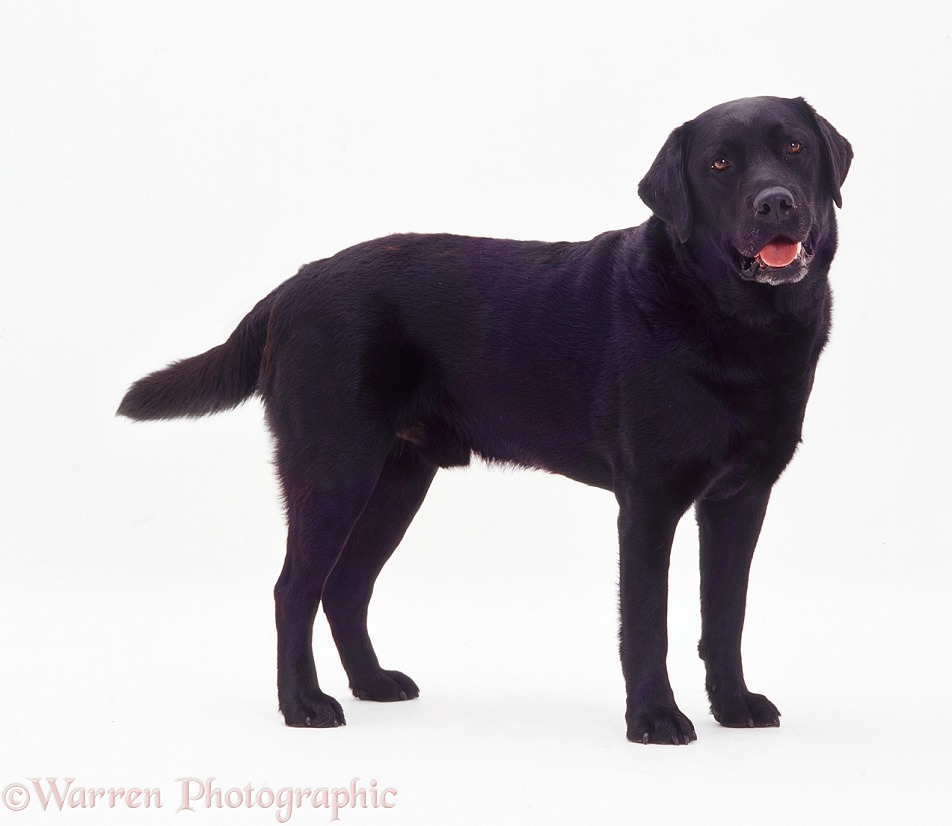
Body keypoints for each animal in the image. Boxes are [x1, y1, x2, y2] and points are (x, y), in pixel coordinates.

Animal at [119, 95, 856, 740]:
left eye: (794, 147)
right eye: (720, 164)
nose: (776, 202)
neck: (741, 327)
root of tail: (291, 285)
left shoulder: (741, 497)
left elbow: (726, 614)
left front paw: (733, 707)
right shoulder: (649, 499)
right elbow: (649, 620)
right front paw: (653, 720)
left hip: (398, 479)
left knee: (346, 587)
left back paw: (373, 684)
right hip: (332, 472)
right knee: (294, 589)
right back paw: (304, 705)